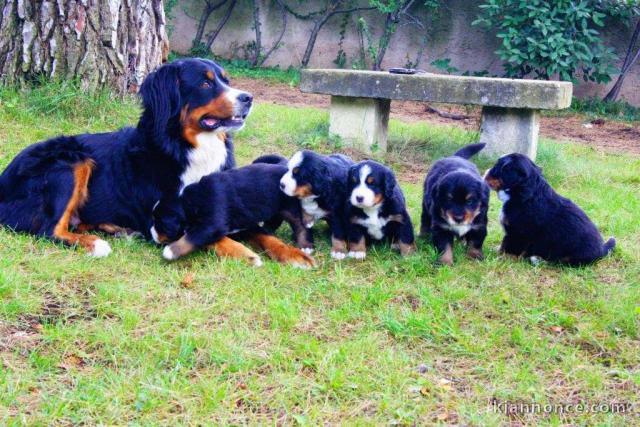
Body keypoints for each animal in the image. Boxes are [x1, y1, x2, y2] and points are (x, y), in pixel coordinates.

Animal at [0, 58, 312, 266]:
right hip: (71, 162)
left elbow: (262, 232)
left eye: (226, 80)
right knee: (49, 229)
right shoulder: (172, 210)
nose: (248, 98)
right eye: (205, 82)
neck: (188, 147)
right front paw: (244, 252)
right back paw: (95, 245)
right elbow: (206, 233)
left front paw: (294, 253)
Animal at [484, 154, 616, 266]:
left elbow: (509, 246)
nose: (485, 173)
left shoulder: (517, 232)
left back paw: (537, 259)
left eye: (497, 167)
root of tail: (602, 250)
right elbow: (504, 244)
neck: (525, 193)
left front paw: (502, 258)